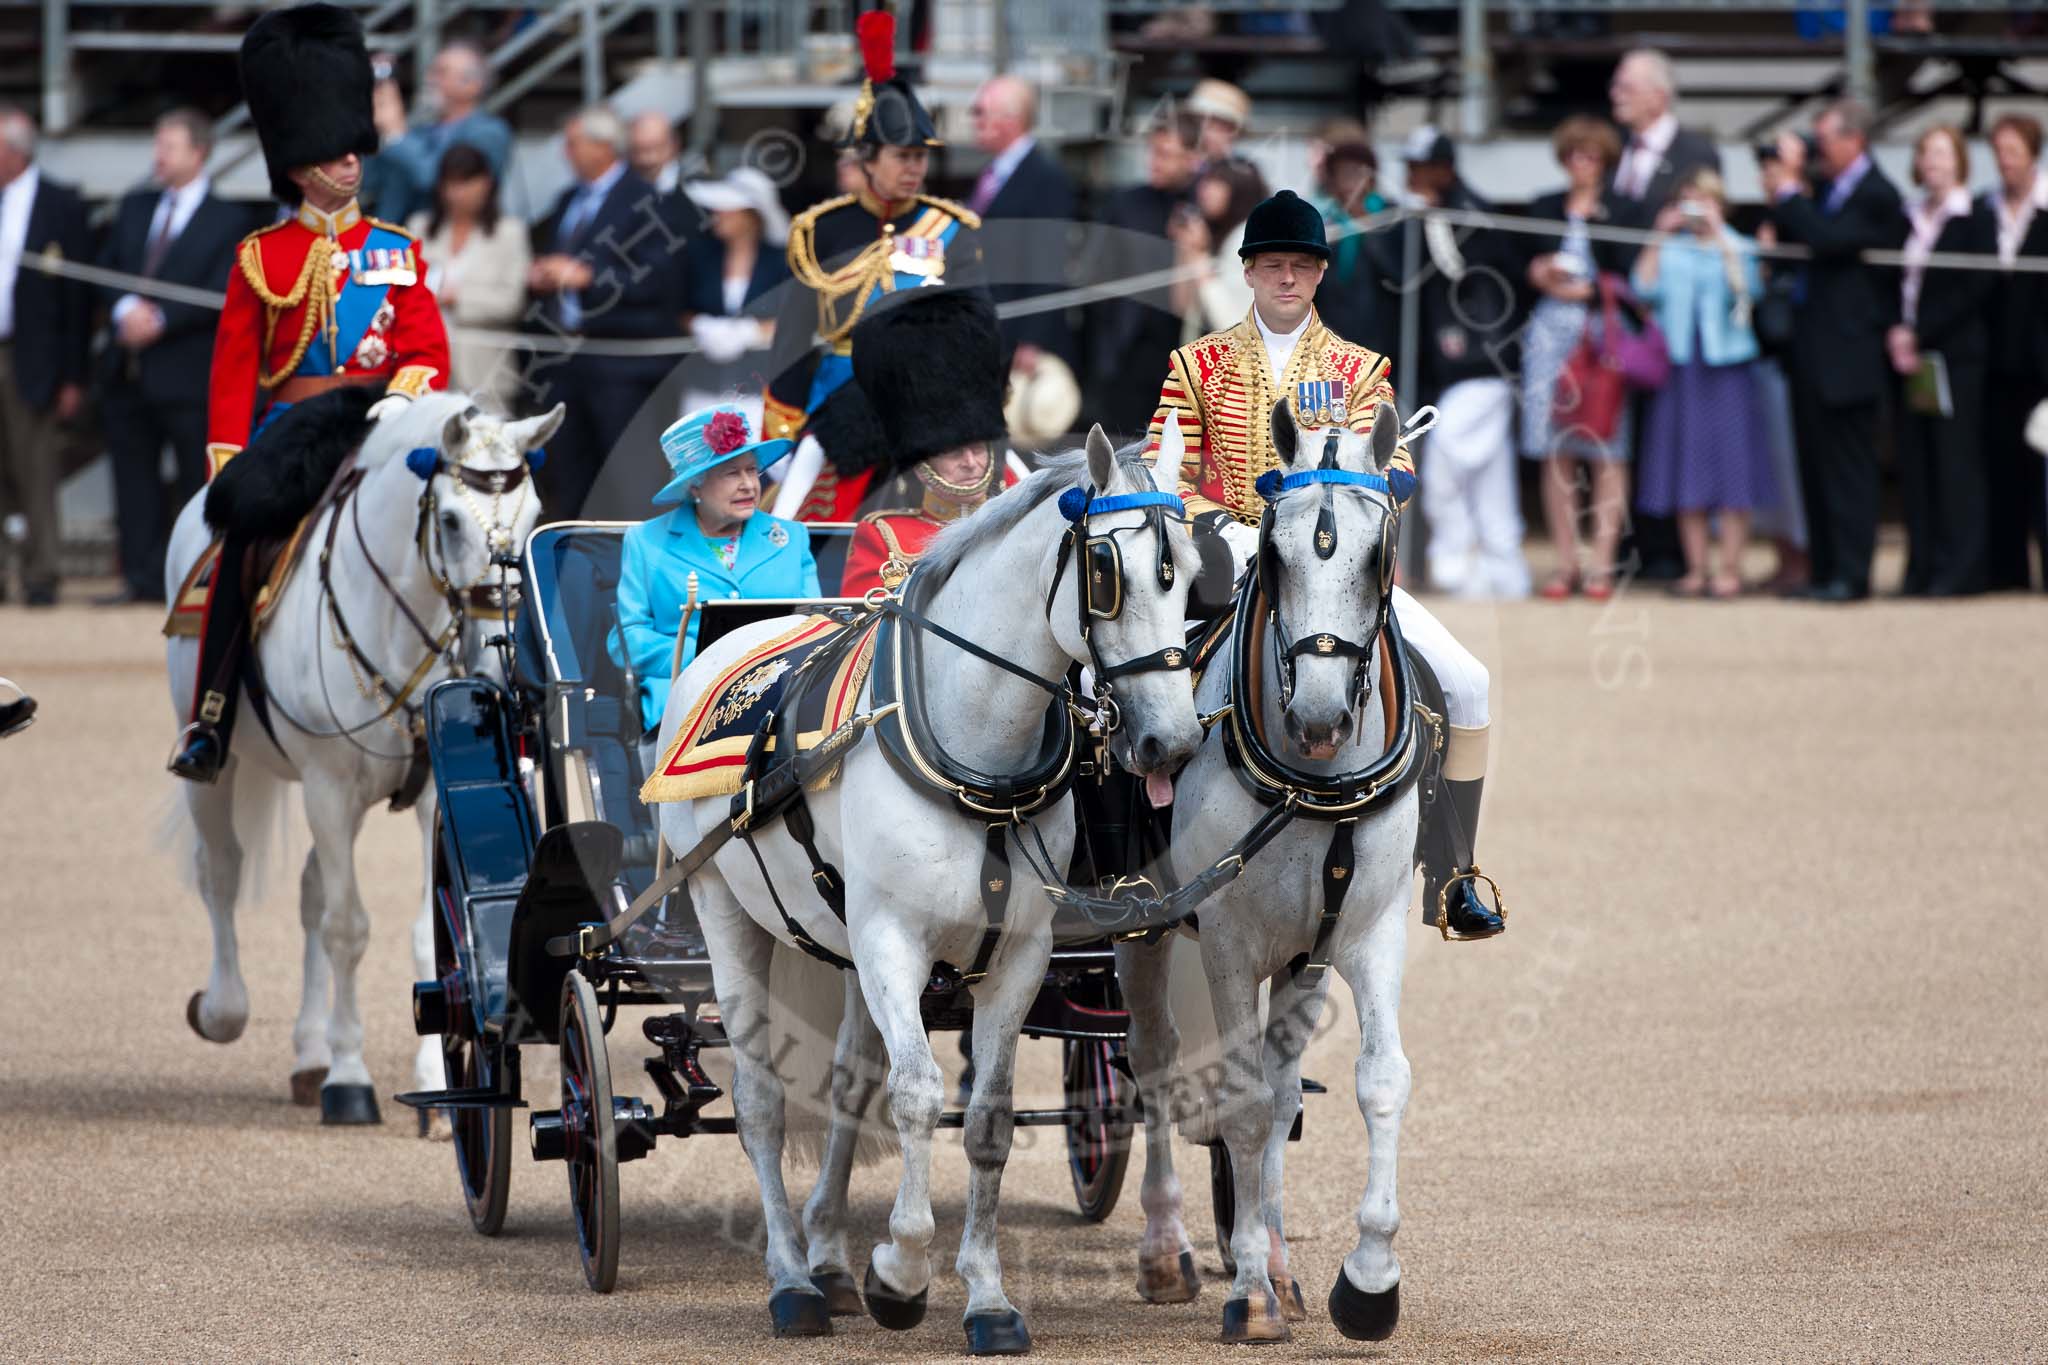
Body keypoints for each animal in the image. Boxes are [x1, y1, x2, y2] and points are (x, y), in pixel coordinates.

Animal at [166, 388, 557, 1129]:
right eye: (451, 520)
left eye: (534, 516)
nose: (497, 651)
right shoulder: (328, 785)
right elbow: (348, 928)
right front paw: (350, 1081)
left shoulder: (433, 793)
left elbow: (429, 930)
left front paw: (436, 1083)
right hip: (209, 755)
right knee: (222, 872)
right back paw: (227, 1010)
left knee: (310, 890)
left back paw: (309, 1055)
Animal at [651, 427, 1196, 1358]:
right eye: (1106, 572)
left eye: (1192, 570)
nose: (1172, 741)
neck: (977, 752)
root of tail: (725, 638)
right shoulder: (891, 939)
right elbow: (916, 1094)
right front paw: (901, 1272)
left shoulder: (1017, 953)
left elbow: (985, 1118)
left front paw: (987, 1296)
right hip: (727, 910)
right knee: (761, 1101)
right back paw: (793, 1279)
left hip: (837, 939)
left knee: (845, 1080)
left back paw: (828, 1256)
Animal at [1114, 403, 1433, 1342]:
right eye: (1278, 553)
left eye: (1379, 553)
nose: (1319, 717)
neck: (1314, 785)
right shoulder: (1227, 941)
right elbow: (1244, 1100)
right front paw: (1249, 1292)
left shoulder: (1363, 934)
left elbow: (1374, 1083)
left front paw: (1367, 1280)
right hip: (1145, 930)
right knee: (1155, 1061)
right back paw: (1170, 1249)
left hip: (1302, 957)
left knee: (1286, 1087)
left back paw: (1282, 1262)